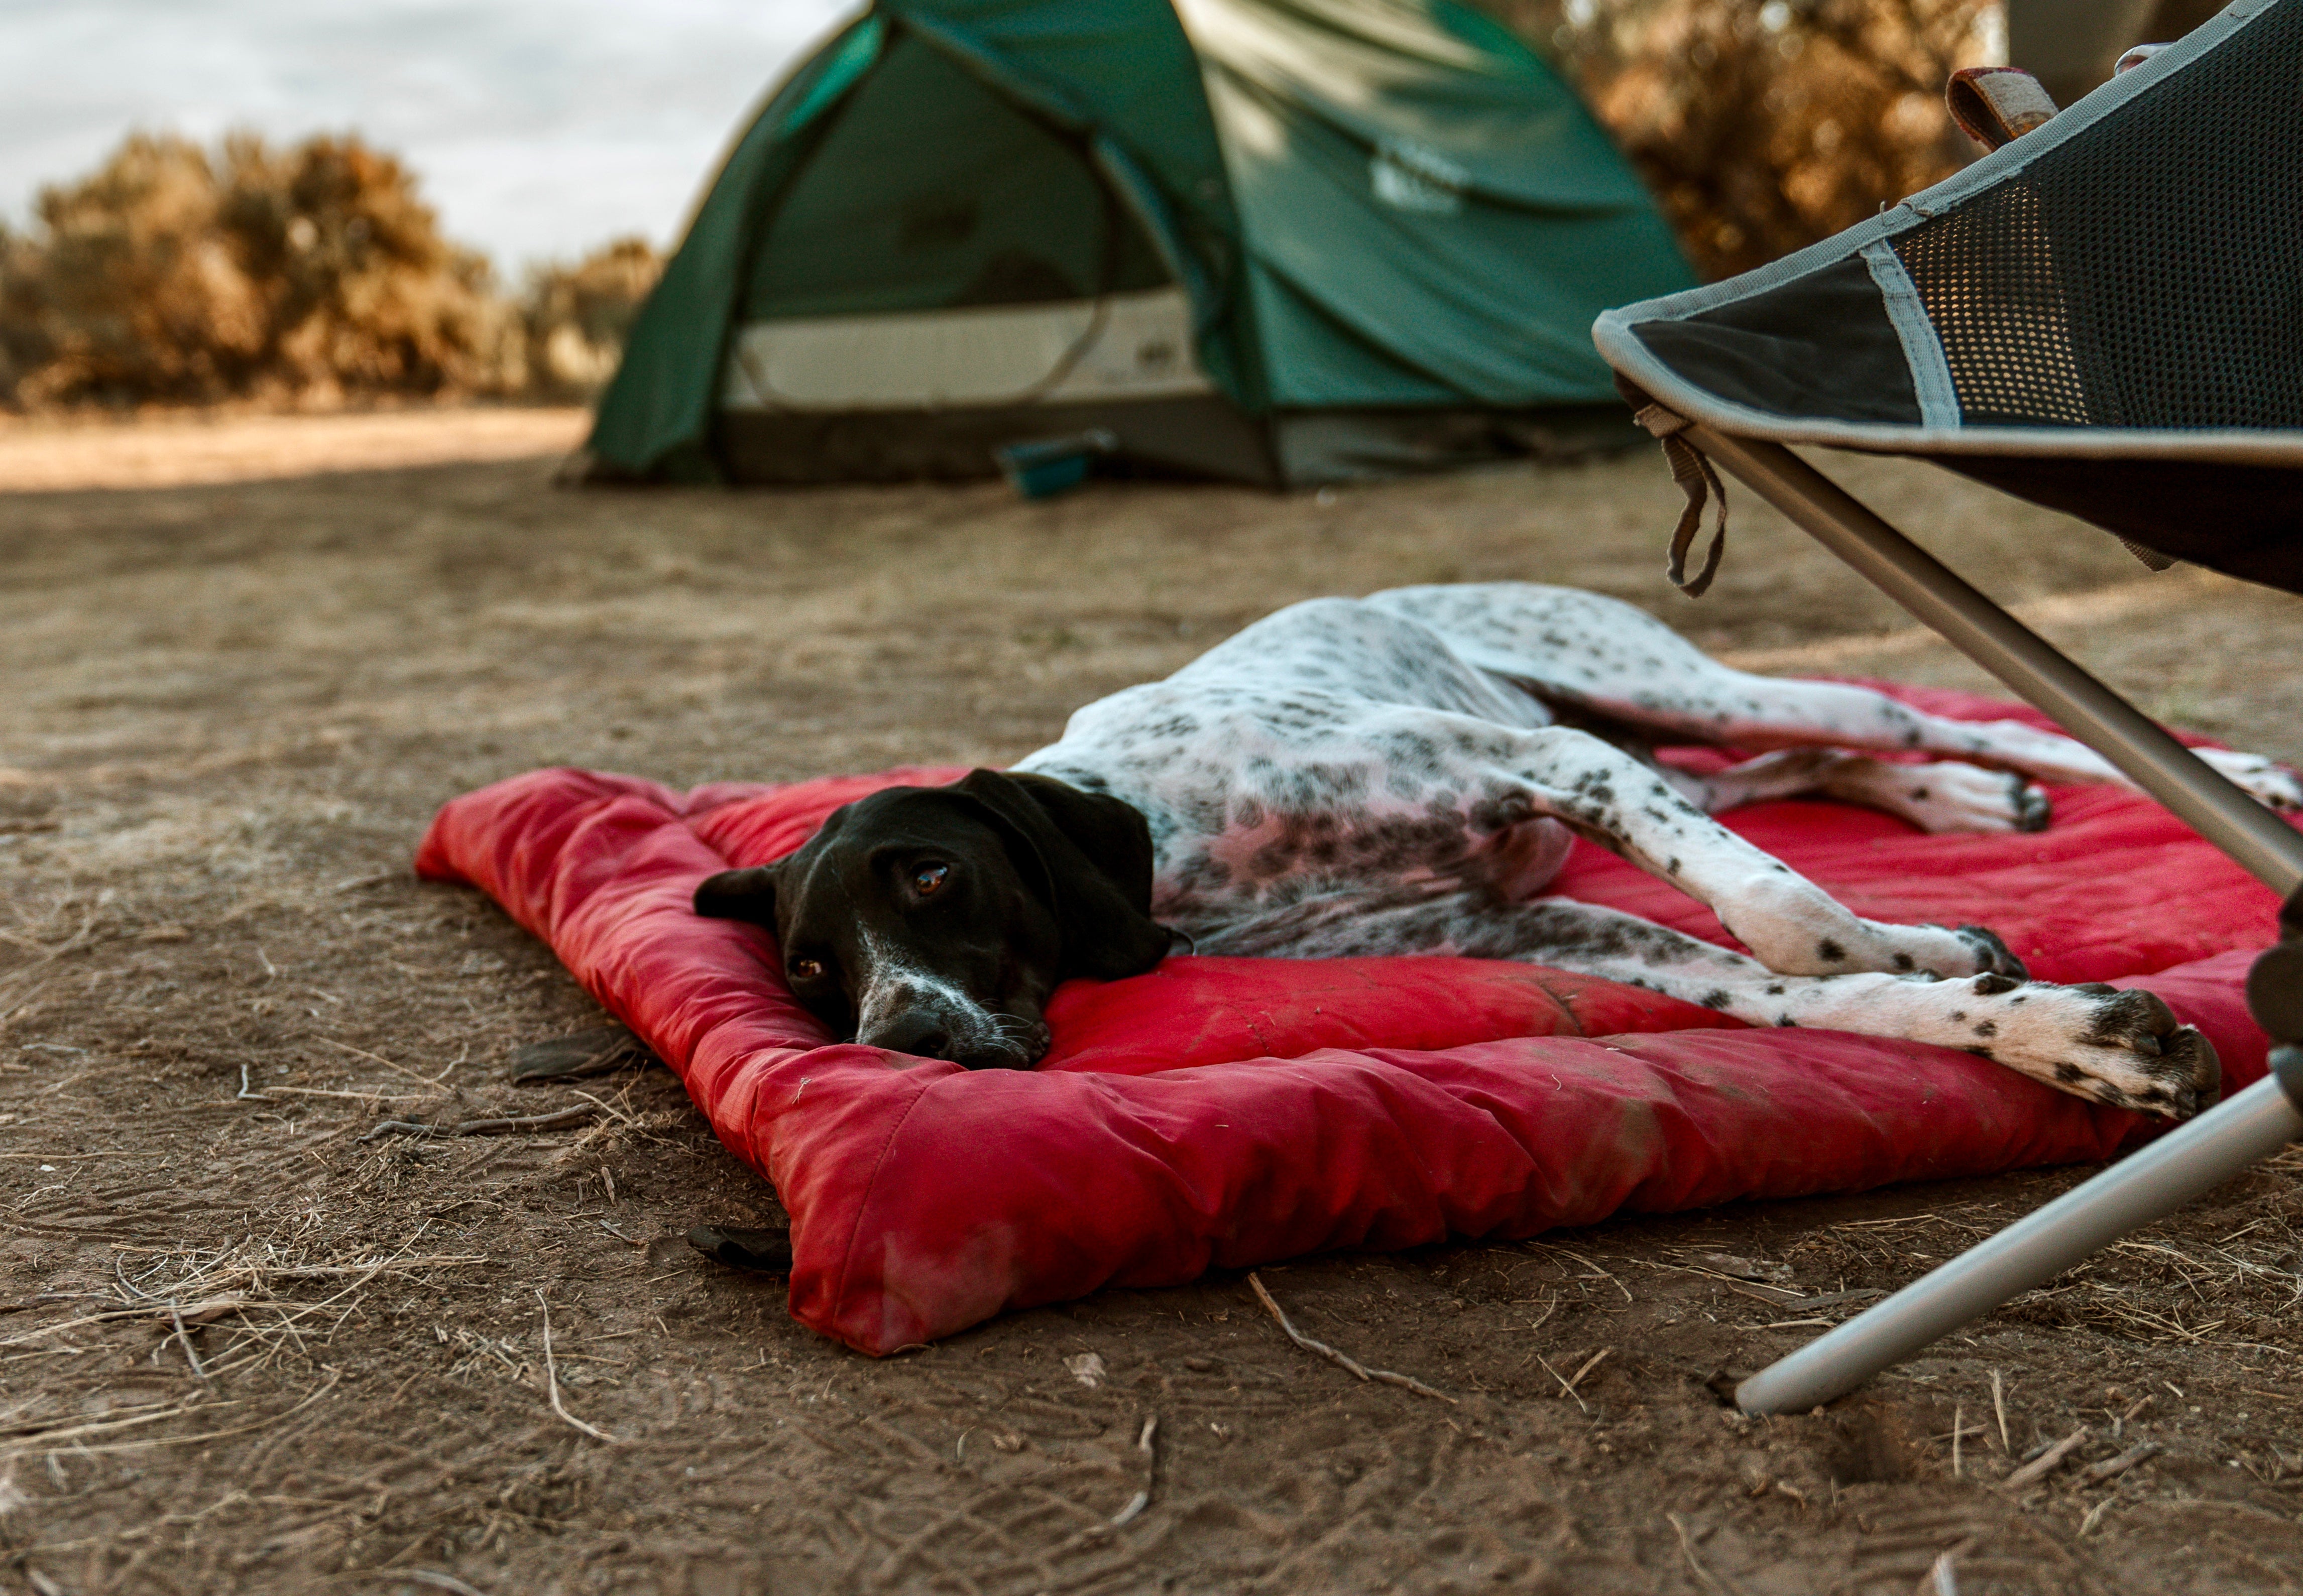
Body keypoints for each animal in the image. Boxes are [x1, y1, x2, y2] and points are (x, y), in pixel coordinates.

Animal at [690, 578, 2293, 1115]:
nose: (907, 1041)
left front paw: (1930, 944)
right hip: (1655, 742)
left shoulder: (1541, 767)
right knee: (1800, 770)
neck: (1176, 837)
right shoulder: (1534, 925)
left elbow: (1787, 919)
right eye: (814, 971)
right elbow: (1796, 989)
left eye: (933, 874)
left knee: (1923, 715)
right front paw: (2057, 1032)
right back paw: (1962, 810)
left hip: (1662, 696)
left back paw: (2241, 777)